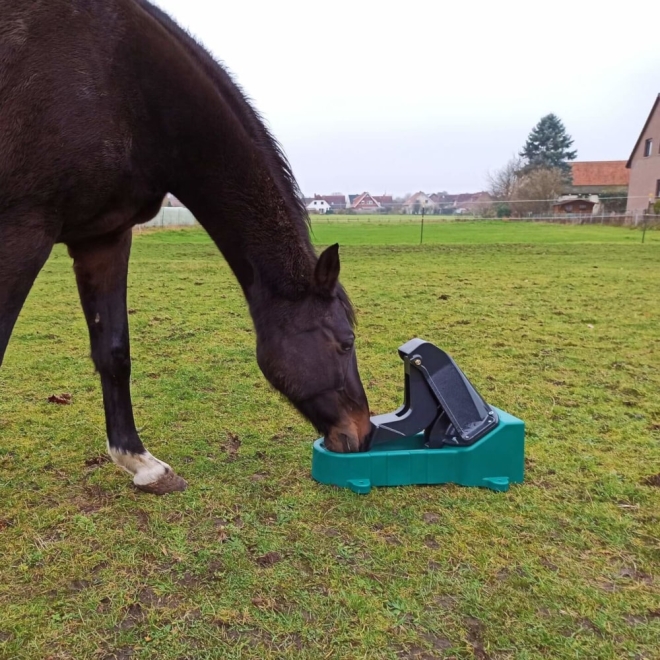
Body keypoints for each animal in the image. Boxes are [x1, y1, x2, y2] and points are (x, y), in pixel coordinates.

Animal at [0, 0, 372, 495]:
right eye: (345, 342)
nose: (364, 433)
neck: (119, 81)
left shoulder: (103, 237)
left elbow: (114, 351)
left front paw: (141, 463)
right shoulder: (22, 231)